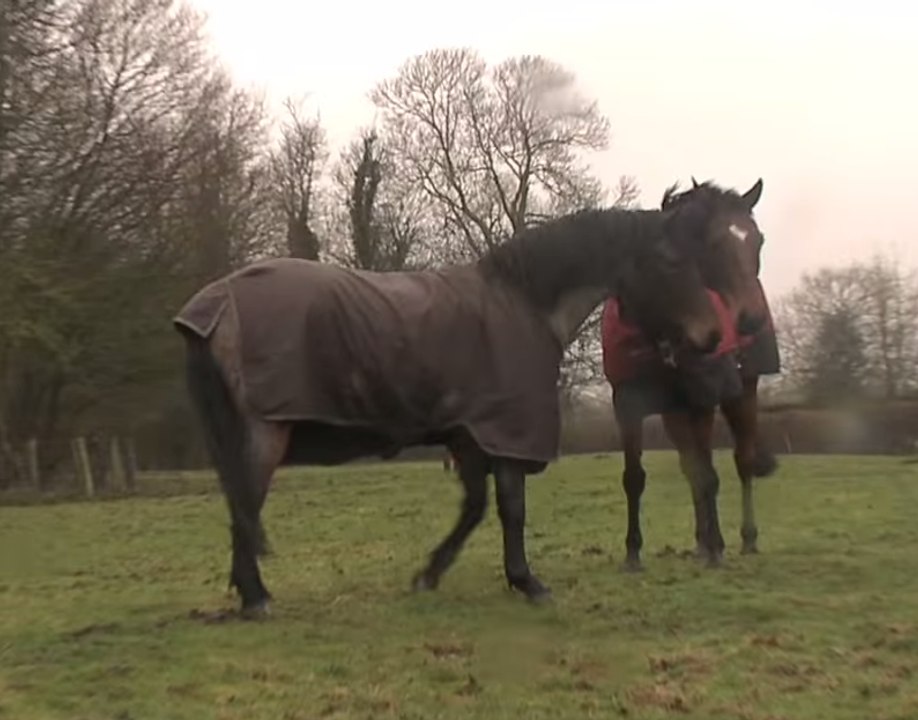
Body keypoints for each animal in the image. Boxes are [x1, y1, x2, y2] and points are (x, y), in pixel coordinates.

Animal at [174, 194, 755, 618]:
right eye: (672, 262)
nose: (713, 335)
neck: (524, 303)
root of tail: (212, 304)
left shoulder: (471, 435)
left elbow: (476, 508)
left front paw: (430, 573)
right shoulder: (506, 433)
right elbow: (511, 508)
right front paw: (527, 581)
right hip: (263, 432)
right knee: (245, 502)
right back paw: (256, 597)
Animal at [601, 178, 781, 571]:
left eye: (758, 240)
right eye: (712, 242)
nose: (751, 319)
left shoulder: (702, 398)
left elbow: (709, 476)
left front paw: (717, 549)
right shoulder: (628, 405)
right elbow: (636, 478)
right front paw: (633, 553)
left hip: (741, 393)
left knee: (741, 462)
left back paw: (744, 539)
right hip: (675, 413)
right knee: (692, 468)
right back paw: (702, 543)